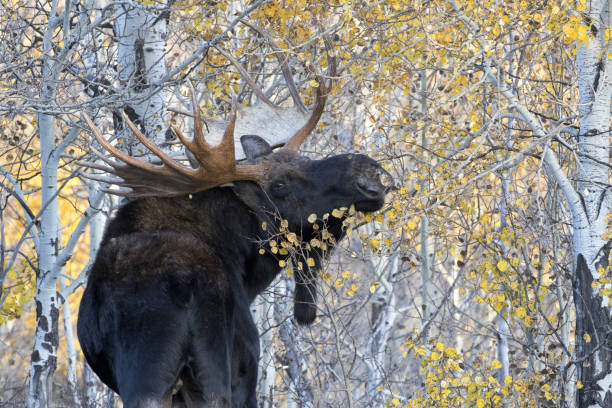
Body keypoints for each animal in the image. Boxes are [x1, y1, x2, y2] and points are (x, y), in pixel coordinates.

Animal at [77, 47, 392, 404]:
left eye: (305, 160)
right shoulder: (246, 362)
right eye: (280, 185)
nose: (369, 174)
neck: (247, 267)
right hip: (210, 370)